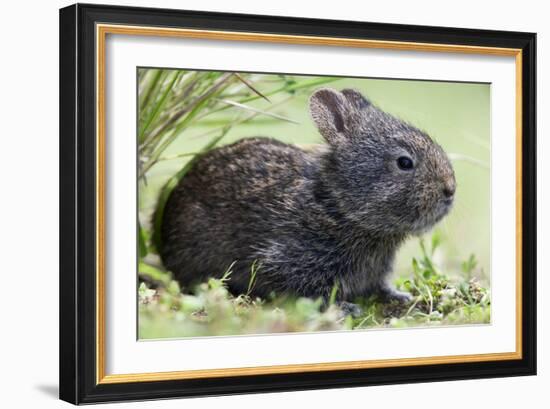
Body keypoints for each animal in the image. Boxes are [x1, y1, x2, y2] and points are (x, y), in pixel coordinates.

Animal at [160, 87, 458, 310]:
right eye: (404, 162)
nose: (450, 190)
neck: (338, 205)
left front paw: (400, 296)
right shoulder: (289, 260)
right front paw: (345, 308)